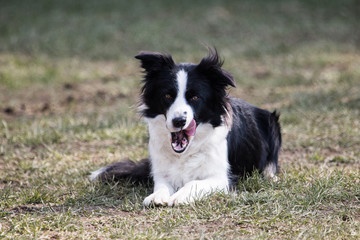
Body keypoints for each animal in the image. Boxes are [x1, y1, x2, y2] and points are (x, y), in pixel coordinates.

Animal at [90, 48, 282, 206]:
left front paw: (180, 196)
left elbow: (193, 182)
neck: (185, 152)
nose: (179, 121)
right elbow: (161, 185)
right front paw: (157, 196)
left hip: (273, 122)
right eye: (167, 95)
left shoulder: (221, 178)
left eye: (195, 97)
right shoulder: (162, 171)